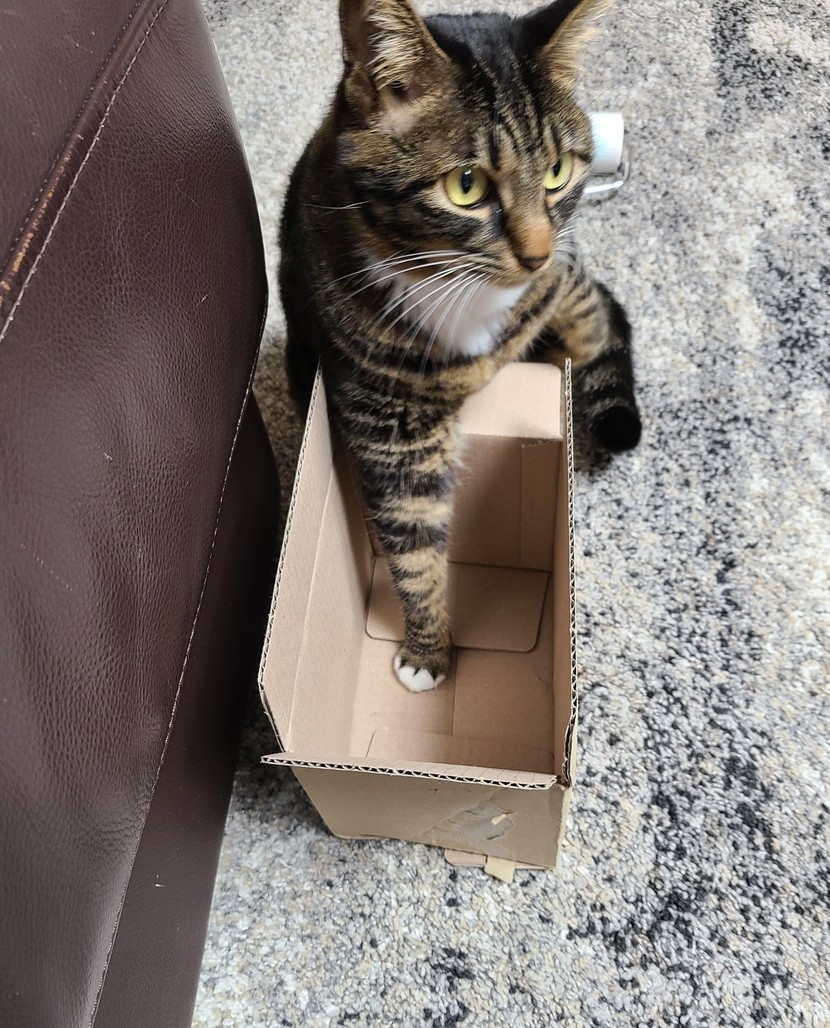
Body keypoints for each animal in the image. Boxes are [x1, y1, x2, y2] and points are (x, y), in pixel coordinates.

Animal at [279, 0, 641, 692]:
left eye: (557, 172)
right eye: (466, 186)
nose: (537, 254)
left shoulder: (558, 287)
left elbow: (597, 325)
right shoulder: (392, 423)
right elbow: (414, 544)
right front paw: (427, 653)